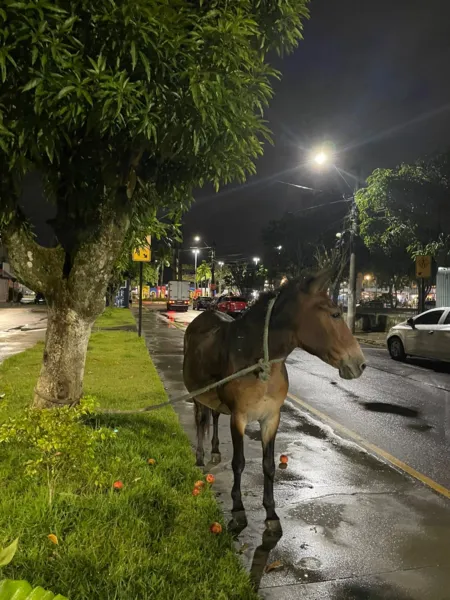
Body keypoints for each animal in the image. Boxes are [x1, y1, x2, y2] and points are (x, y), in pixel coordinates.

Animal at [183, 274, 366, 532]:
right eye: (335, 314)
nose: (360, 363)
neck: (257, 359)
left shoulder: (271, 418)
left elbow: (268, 465)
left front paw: (271, 513)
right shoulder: (239, 417)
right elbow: (238, 463)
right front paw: (238, 510)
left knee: (215, 416)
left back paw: (216, 450)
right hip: (197, 393)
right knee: (200, 419)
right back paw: (200, 457)